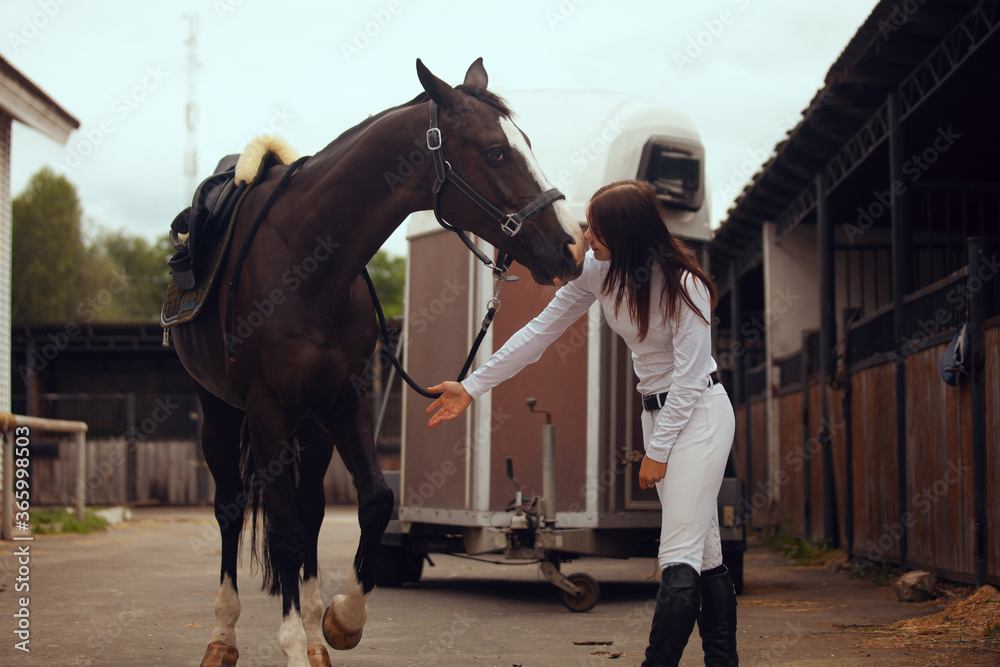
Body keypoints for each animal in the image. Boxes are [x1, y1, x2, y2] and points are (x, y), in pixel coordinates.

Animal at [168, 58, 584, 667]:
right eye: (495, 153)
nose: (572, 246)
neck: (306, 261)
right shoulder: (267, 408)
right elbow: (282, 528)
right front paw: (293, 644)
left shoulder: (347, 396)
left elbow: (373, 502)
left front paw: (339, 622)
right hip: (219, 411)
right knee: (230, 508)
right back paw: (223, 637)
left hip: (312, 425)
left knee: (312, 510)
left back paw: (314, 632)